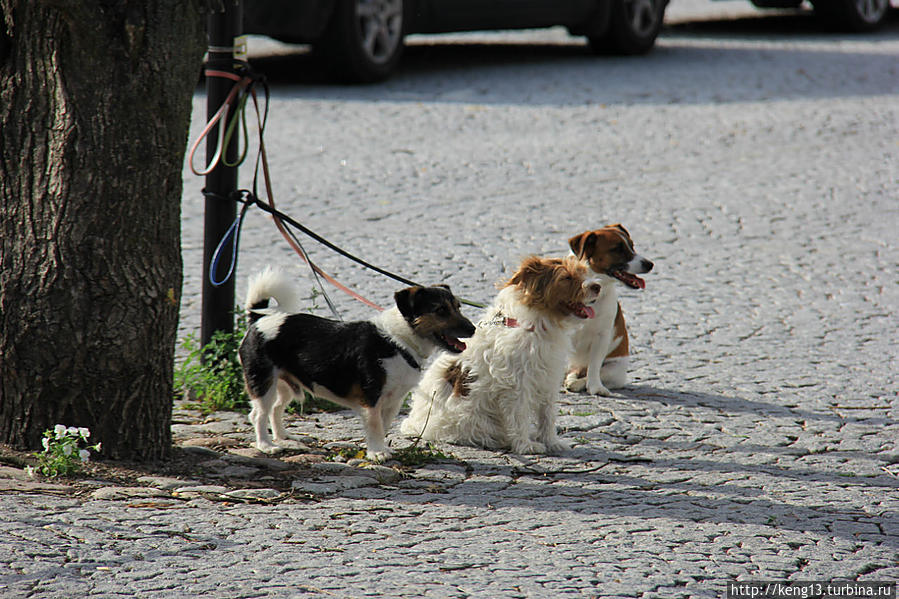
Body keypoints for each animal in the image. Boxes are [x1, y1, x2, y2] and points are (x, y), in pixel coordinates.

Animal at [239, 270, 478, 462]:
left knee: (276, 409)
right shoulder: (371, 399)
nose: (473, 329)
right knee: (258, 415)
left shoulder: (393, 402)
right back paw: (267, 446)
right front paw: (377, 453)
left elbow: (383, 427)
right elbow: (374, 426)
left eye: (458, 307)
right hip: (263, 382)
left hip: (285, 385)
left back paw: (283, 438)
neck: (398, 342)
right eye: (440, 310)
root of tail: (257, 320)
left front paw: (381, 449)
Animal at [568, 223, 652, 396]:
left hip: (615, 370)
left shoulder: (602, 336)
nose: (650, 264)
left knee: (593, 372)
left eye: (632, 246)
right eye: (617, 249)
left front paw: (595, 387)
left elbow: (594, 366)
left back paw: (578, 383)